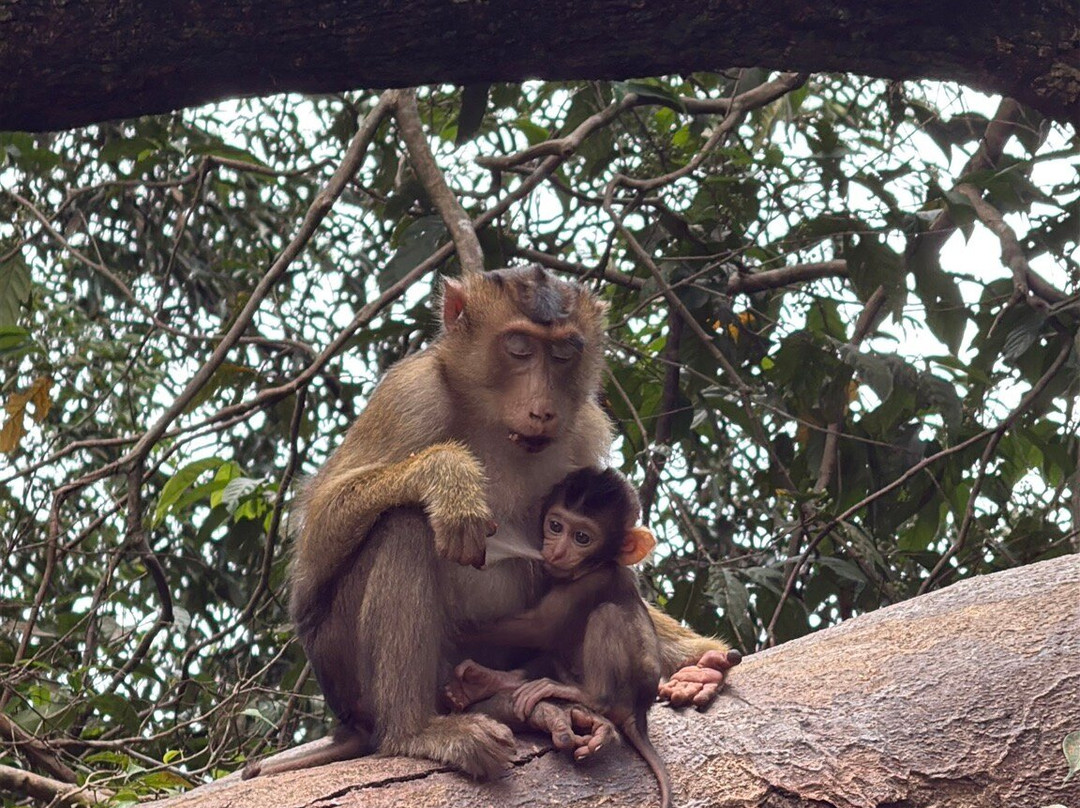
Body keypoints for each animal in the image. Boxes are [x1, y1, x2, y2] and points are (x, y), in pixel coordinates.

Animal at [445, 467, 679, 808]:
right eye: (556, 526)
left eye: (582, 537)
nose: (556, 550)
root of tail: (639, 713)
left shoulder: (592, 580)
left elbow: (539, 627)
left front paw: (456, 626)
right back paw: (490, 682)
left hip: (624, 690)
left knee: (606, 615)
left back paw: (589, 695)